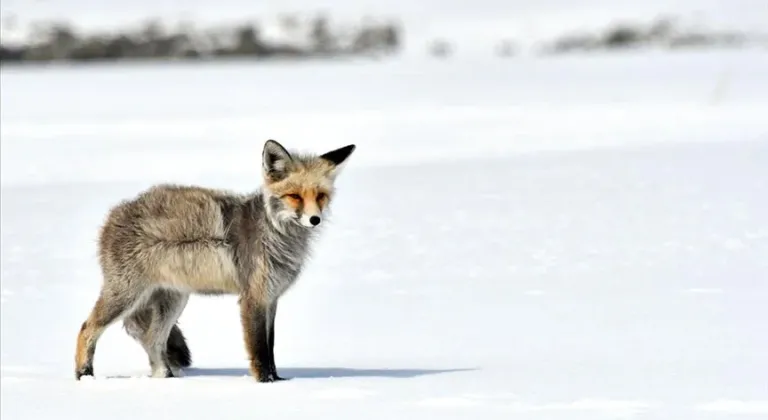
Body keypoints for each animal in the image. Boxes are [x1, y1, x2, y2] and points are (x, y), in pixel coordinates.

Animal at [73, 139, 356, 382]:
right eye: (295, 196)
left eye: (320, 196)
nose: (315, 219)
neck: (276, 233)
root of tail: (114, 214)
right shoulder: (253, 298)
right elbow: (259, 351)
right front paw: (266, 383)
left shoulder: (271, 298)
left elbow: (271, 347)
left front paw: (279, 380)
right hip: (126, 295)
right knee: (87, 328)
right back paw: (84, 375)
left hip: (173, 300)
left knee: (153, 339)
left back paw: (166, 378)